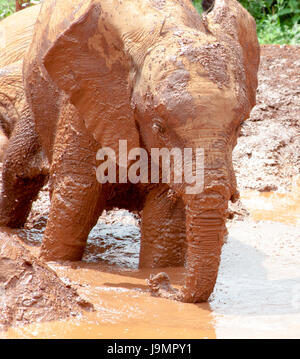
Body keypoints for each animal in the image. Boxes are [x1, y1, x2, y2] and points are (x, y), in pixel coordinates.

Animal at [19, 0, 258, 304]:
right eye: (159, 127)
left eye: (241, 126)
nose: (161, 283)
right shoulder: (93, 95)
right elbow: (77, 196)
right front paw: (55, 264)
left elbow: (166, 214)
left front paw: (156, 270)